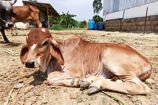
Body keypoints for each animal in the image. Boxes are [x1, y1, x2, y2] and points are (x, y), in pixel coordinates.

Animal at [20, 28, 152, 95]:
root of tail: (148, 62)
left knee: (141, 87)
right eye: (28, 42)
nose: (29, 63)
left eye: (45, 42)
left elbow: (50, 77)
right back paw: (90, 82)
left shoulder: (76, 71)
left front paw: (75, 81)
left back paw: (92, 83)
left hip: (110, 58)